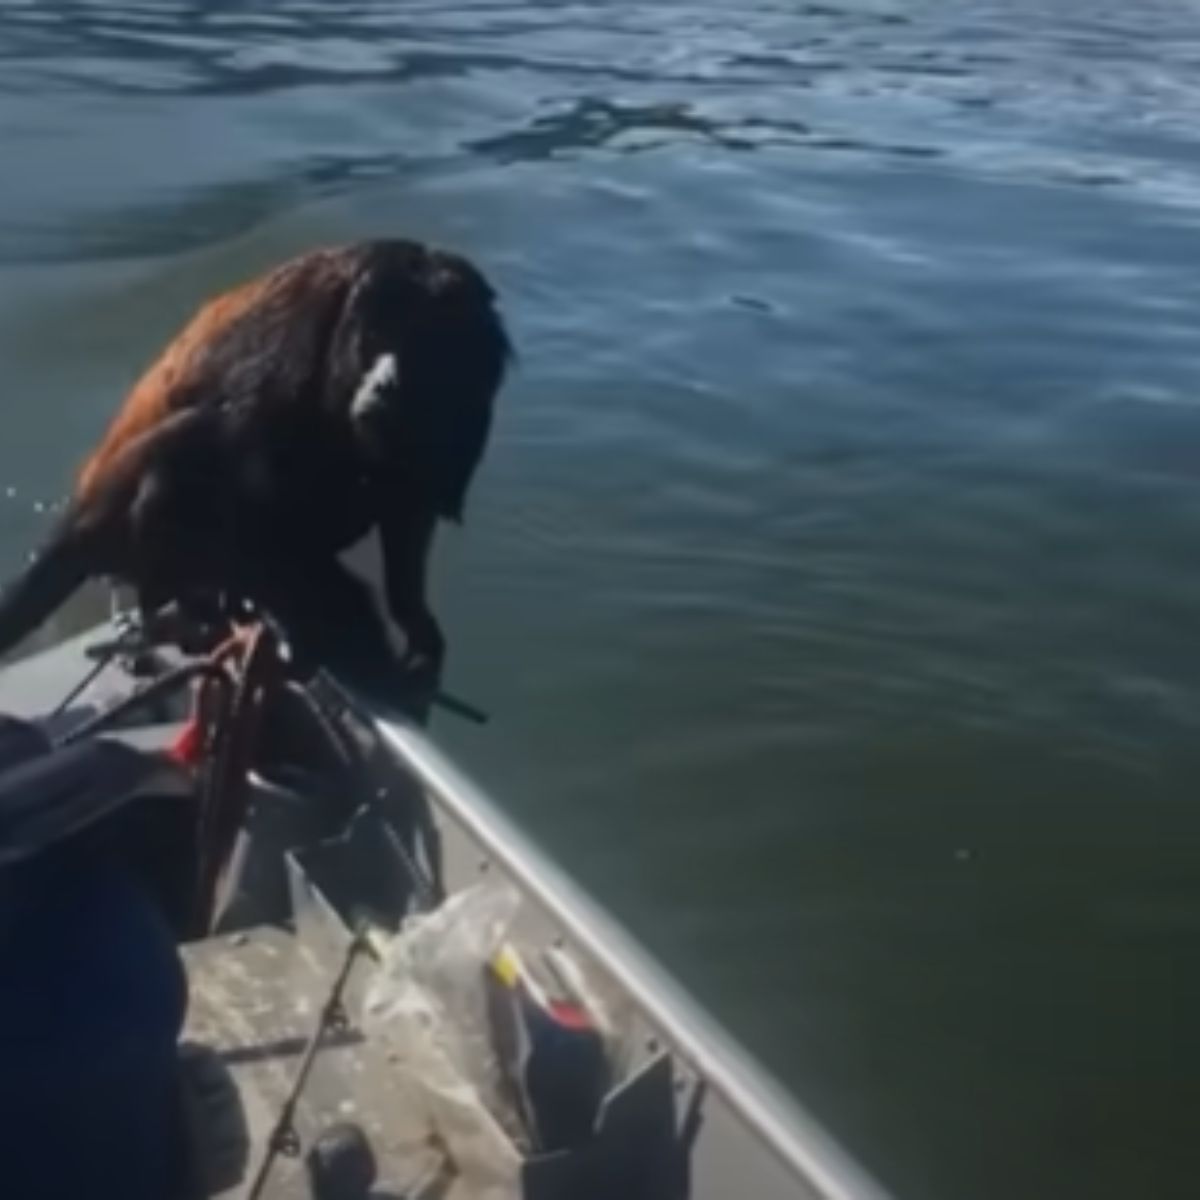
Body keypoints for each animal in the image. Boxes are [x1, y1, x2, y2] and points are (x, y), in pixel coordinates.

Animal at [0, 236, 511, 700]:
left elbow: (410, 500)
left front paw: (414, 620)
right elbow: (248, 476)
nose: (385, 385)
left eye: (424, 348)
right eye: (376, 339)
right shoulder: (290, 353)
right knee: (188, 451)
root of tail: (79, 518)